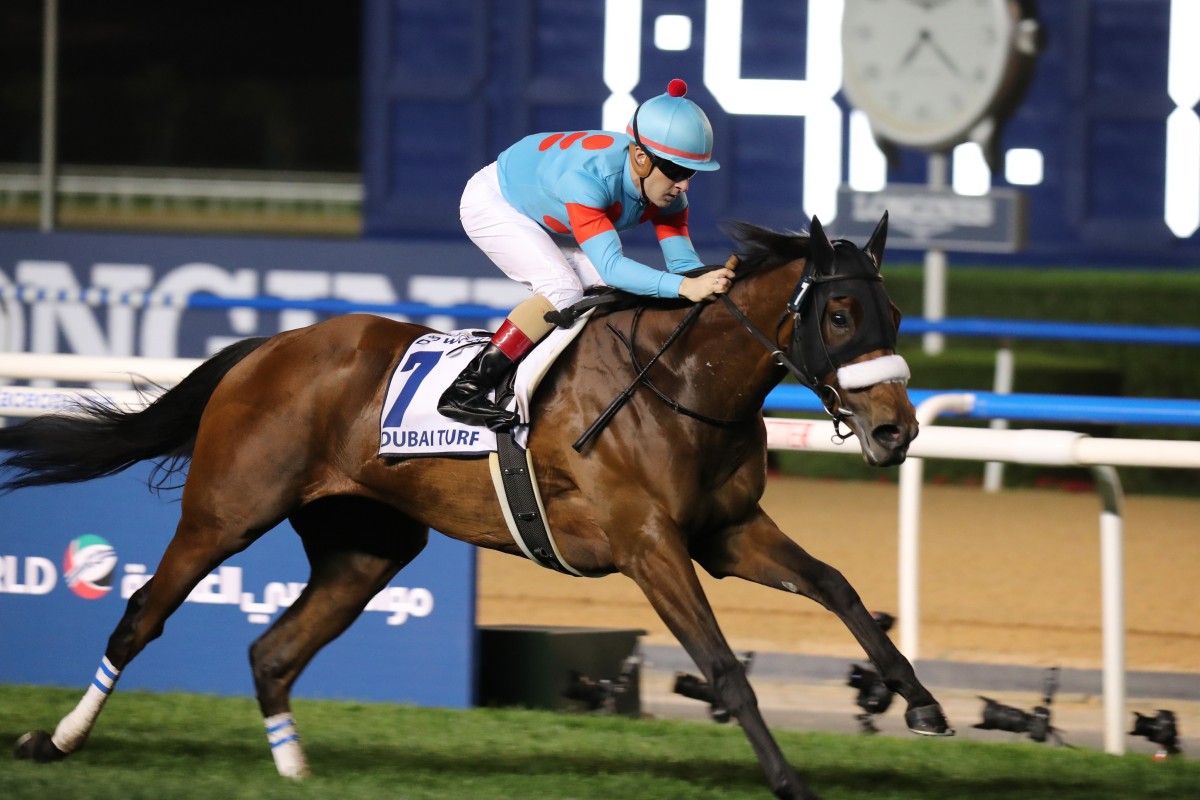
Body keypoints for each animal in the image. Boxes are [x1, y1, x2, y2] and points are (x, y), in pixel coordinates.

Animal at [4, 214, 950, 800]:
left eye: (896, 309)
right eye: (839, 312)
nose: (896, 429)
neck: (681, 387)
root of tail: (271, 345)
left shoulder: (726, 532)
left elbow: (837, 588)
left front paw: (921, 703)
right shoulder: (649, 544)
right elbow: (722, 666)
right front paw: (788, 778)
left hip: (367, 549)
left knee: (273, 651)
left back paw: (296, 769)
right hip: (225, 511)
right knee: (142, 615)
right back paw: (57, 740)